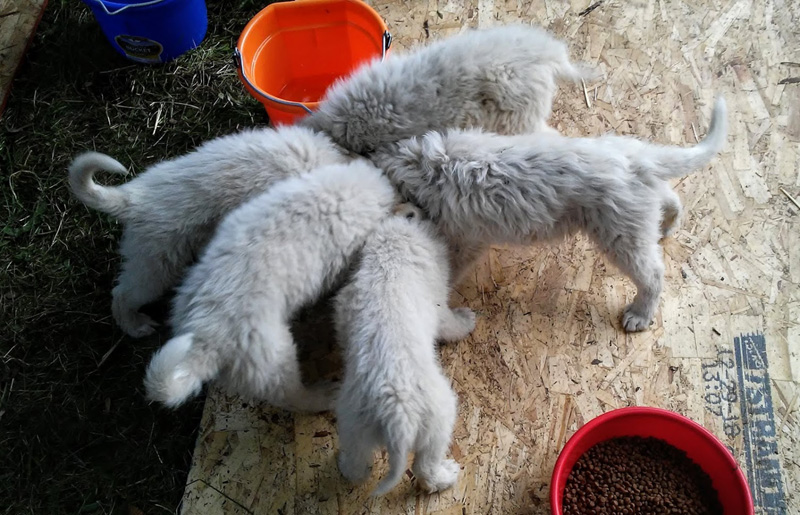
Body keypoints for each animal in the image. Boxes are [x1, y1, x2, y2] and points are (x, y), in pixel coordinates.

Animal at [332, 216, 476, 498]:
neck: (390, 259)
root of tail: (396, 415)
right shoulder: (440, 306)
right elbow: (452, 324)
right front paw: (468, 320)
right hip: (439, 418)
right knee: (425, 468)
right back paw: (446, 476)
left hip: (353, 423)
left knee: (356, 466)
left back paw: (344, 465)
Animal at [372, 97, 728, 332]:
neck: (426, 166)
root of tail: (636, 158)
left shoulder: (467, 236)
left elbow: (455, 262)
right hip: (640, 209)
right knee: (671, 197)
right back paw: (668, 226)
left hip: (620, 233)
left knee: (652, 274)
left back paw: (639, 314)